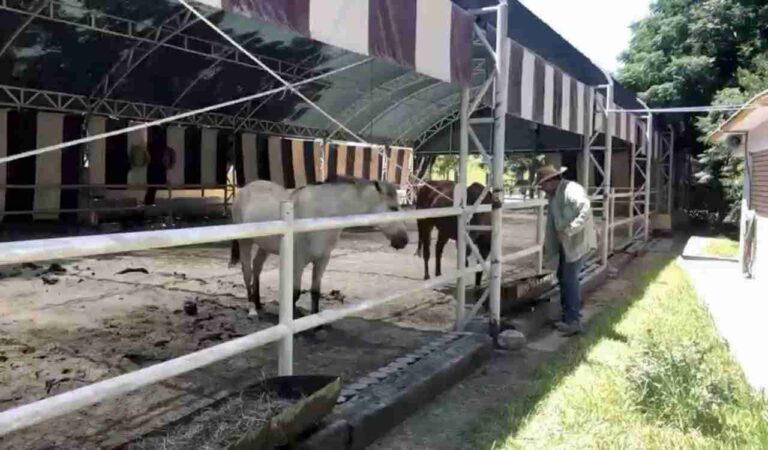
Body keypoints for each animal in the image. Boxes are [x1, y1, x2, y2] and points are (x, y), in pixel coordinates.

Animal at [226, 176, 408, 320]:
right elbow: (295, 292)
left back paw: (258, 303)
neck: (320, 215)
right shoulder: (297, 261)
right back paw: (252, 310)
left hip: (265, 245)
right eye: (393, 208)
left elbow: (315, 291)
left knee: (257, 266)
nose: (404, 240)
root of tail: (244, 189)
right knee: (247, 273)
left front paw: (314, 323)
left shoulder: (322, 259)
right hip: (245, 243)